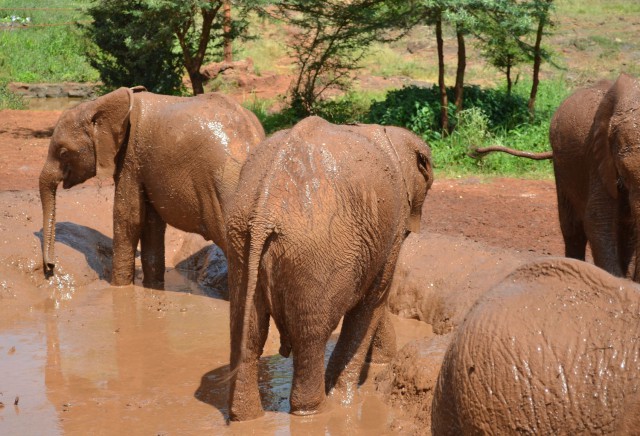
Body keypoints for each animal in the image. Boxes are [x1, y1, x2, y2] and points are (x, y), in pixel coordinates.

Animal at [38, 86, 264, 288]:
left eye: (63, 153)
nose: (50, 267)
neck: (99, 103)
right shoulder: (145, 167)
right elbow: (151, 224)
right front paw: (153, 287)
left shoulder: (131, 157)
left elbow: (128, 218)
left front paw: (119, 289)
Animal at [222, 116, 432, 422]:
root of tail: (264, 212)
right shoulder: (393, 226)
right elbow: (375, 297)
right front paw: (346, 399)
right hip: (313, 252)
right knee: (310, 337)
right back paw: (316, 411)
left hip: (240, 240)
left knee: (246, 332)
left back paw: (245, 417)